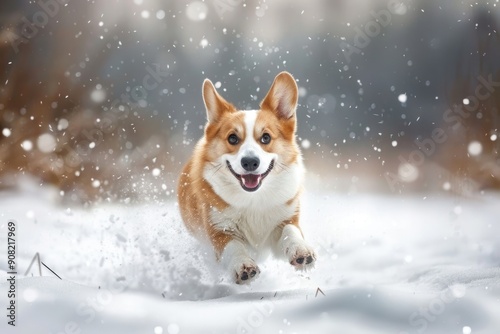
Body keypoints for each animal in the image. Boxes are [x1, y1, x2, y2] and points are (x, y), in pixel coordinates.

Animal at [178, 72, 314, 284]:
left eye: (266, 138)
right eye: (232, 138)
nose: (250, 162)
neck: (253, 199)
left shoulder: (286, 220)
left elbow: (290, 233)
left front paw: (301, 251)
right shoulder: (219, 231)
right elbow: (234, 248)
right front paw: (243, 266)